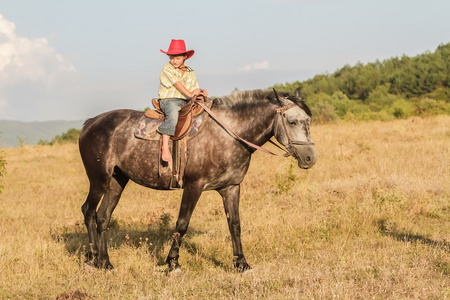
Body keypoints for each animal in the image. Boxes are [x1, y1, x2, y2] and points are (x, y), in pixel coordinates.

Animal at [78, 88, 316, 274]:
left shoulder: (231, 187)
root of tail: (90, 123)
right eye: (292, 121)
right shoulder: (194, 186)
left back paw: (105, 262)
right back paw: (91, 258)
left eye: (308, 121)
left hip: (117, 181)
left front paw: (241, 264)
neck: (228, 134)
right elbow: (182, 224)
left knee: (103, 218)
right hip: (98, 180)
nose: (310, 158)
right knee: (88, 211)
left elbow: (235, 225)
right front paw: (173, 264)